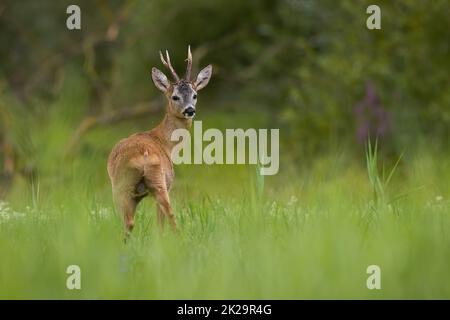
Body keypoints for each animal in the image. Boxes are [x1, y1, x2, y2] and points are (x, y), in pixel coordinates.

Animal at [108, 46, 214, 239]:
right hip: (156, 182)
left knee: (130, 221)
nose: (190, 110)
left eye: (195, 95)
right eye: (175, 97)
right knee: (165, 215)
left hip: (124, 185)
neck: (163, 141)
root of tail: (142, 155)